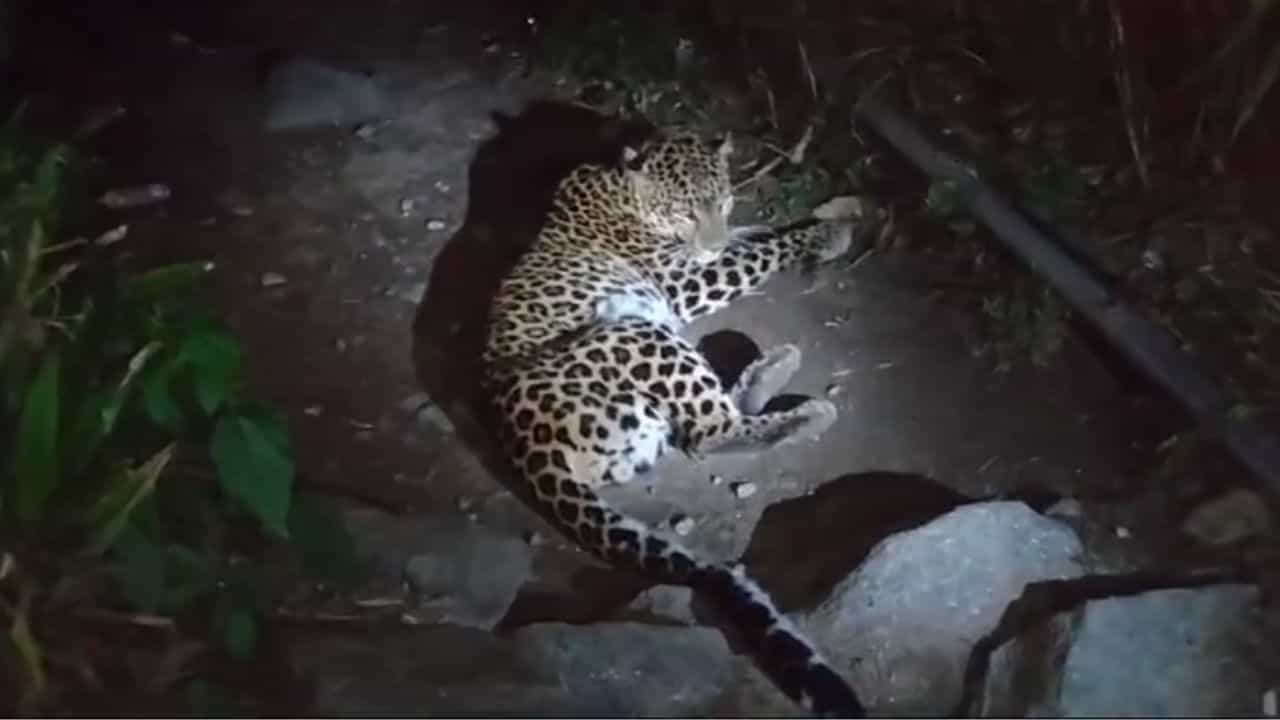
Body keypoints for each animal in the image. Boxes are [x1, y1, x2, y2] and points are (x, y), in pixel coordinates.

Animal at [480, 128, 865, 717]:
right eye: (685, 211)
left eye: (723, 202)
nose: (710, 241)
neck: (621, 182)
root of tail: (521, 440)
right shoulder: (685, 281)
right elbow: (758, 253)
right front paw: (827, 233)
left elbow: (752, 238)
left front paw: (815, 221)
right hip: (636, 329)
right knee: (710, 435)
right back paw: (806, 414)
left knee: (699, 425)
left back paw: (773, 369)